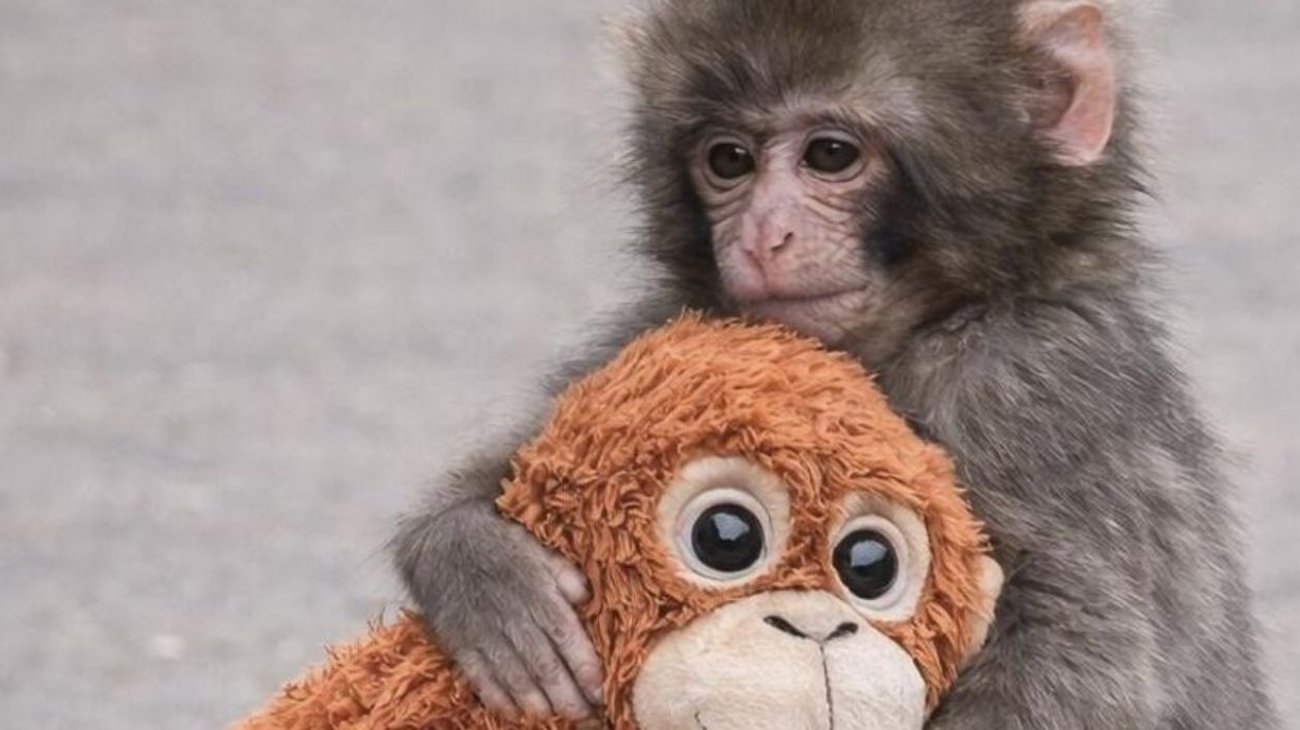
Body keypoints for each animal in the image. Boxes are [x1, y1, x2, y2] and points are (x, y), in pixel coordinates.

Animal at [393, 1, 1278, 728]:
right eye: (729, 160)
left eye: (829, 154)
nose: (761, 236)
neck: (917, 327)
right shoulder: (672, 329)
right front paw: (483, 572)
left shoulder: (1028, 382)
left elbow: (1080, 649)